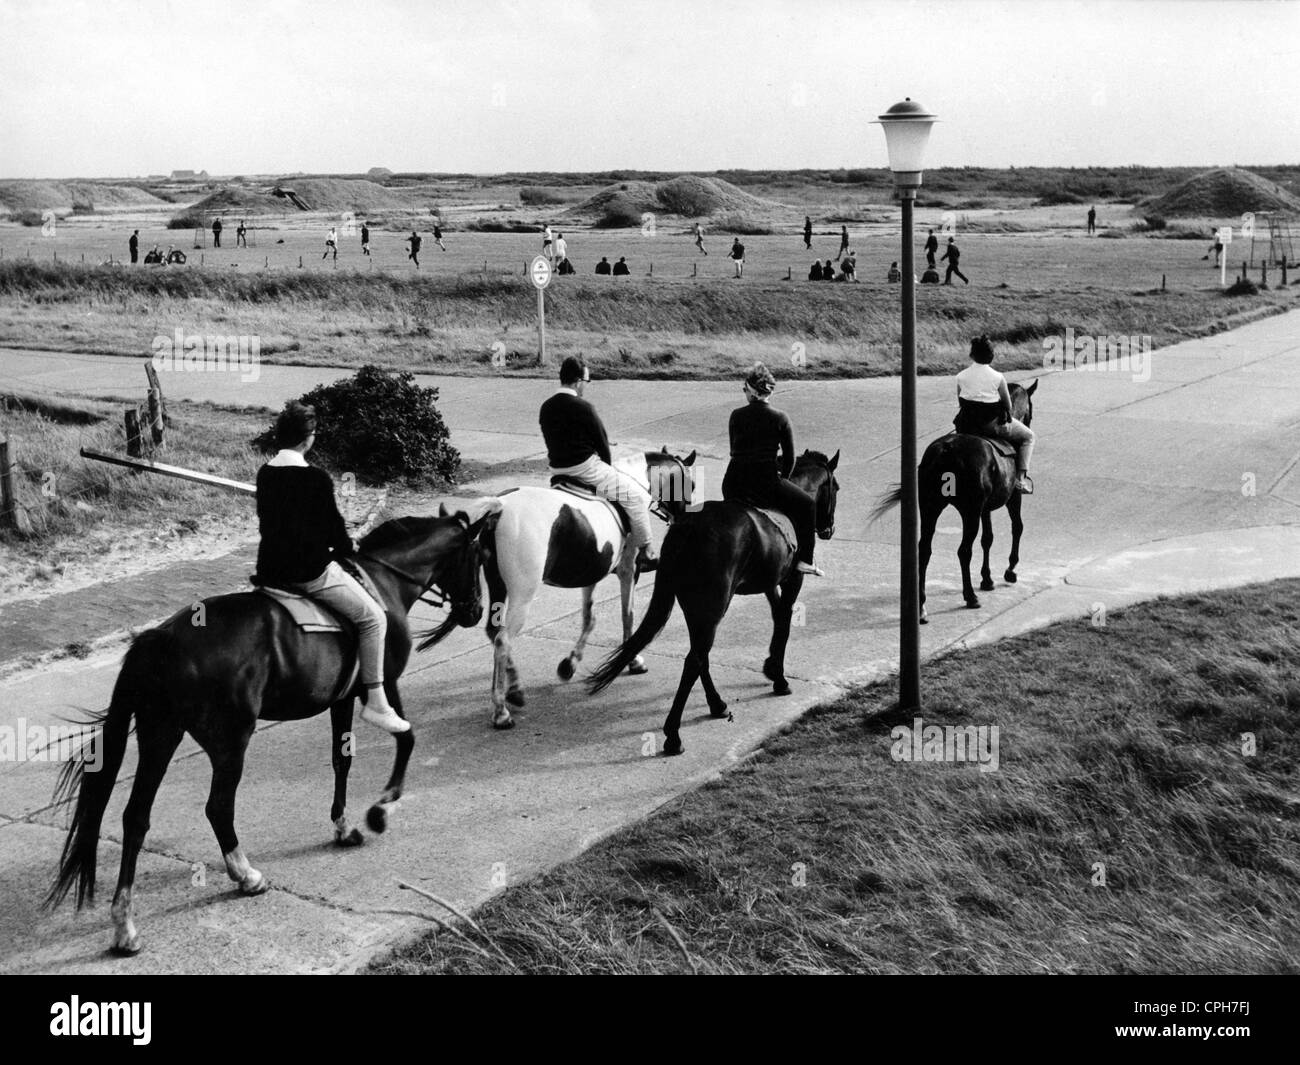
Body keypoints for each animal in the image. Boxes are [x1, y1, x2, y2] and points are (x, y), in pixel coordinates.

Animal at [47, 501, 496, 957]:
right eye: (479, 557)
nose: (476, 611)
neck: (385, 580)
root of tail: (163, 638)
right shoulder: (383, 683)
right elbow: (406, 737)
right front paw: (379, 810)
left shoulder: (341, 699)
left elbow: (342, 760)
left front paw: (342, 826)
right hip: (229, 739)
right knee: (217, 807)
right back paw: (245, 876)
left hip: (161, 734)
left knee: (136, 818)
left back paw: (124, 925)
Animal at [592, 449, 842, 759]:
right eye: (836, 488)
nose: (829, 529)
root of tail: (688, 527)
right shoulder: (792, 579)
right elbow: (784, 621)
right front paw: (779, 677)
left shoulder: (769, 582)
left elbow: (777, 615)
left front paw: (771, 667)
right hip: (713, 604)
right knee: (694, 659)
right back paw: (673, 734)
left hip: (695, 604)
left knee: (700, 656)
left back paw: (717, 704)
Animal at [868, 379, 1040, 621]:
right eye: (1031, 409)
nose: (1028, 421)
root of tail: (945, 450)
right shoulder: (1011, 499)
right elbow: (1017, 527)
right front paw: (1010, 570)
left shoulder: (984, 508)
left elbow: (988, 538)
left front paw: (987, 578)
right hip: (969, 511)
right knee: (963, 551)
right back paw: (970, 597)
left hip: (930, 507)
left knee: (925, 549)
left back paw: (921, 606)